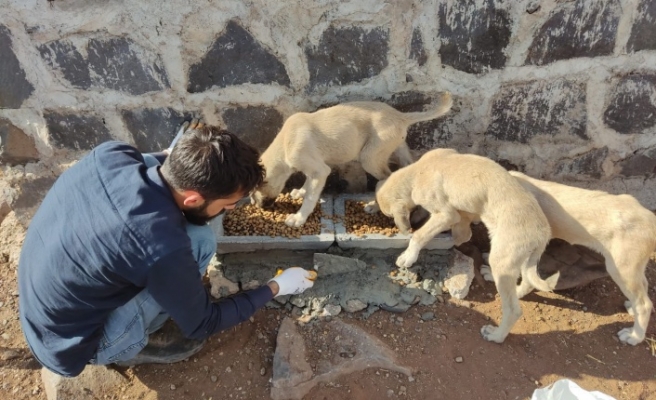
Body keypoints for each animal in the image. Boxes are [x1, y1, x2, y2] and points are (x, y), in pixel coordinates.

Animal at [250, 92, 452, 227]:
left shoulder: (319, 169)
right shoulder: (315, 167)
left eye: (254, 190)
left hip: (369, 158)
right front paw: (300, 192)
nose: (256, 206)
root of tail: (400, 116)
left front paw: (298, 218)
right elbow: (308, 184)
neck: (285, 142)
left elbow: (310, 197)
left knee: (386, 178)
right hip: (397, 148)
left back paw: (375, 206)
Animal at [374, 148, 552, 342]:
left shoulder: (446, 214)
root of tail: (543, 233)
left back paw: (496, 335)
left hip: (504, 256)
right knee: (526, 282)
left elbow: (419, 236)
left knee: (513, 310)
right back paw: (500, 281)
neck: (417, 171)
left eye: (389, 215)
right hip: (520, 257)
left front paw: (408, 256)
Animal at [512, 170, 656, 346]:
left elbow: (525, 277)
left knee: (644, 304)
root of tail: (651, 219)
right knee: (644, 286)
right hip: (633, 267)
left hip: (621, 269)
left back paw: (634, 336)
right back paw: (631, 308)